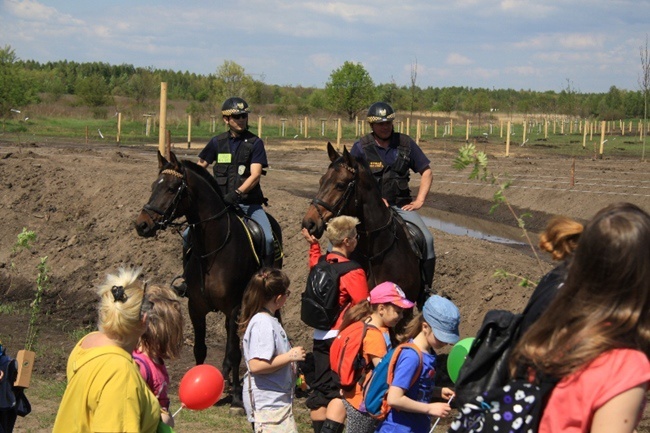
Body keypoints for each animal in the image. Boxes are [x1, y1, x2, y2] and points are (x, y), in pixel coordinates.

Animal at [135, 151, 280, 408]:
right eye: (154, 186)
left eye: (171, 188)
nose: (142, 225)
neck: (213, 250)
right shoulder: (196, 307)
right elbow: (200, 348)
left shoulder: (234, 308)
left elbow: (234, 351)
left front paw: (235, 398)